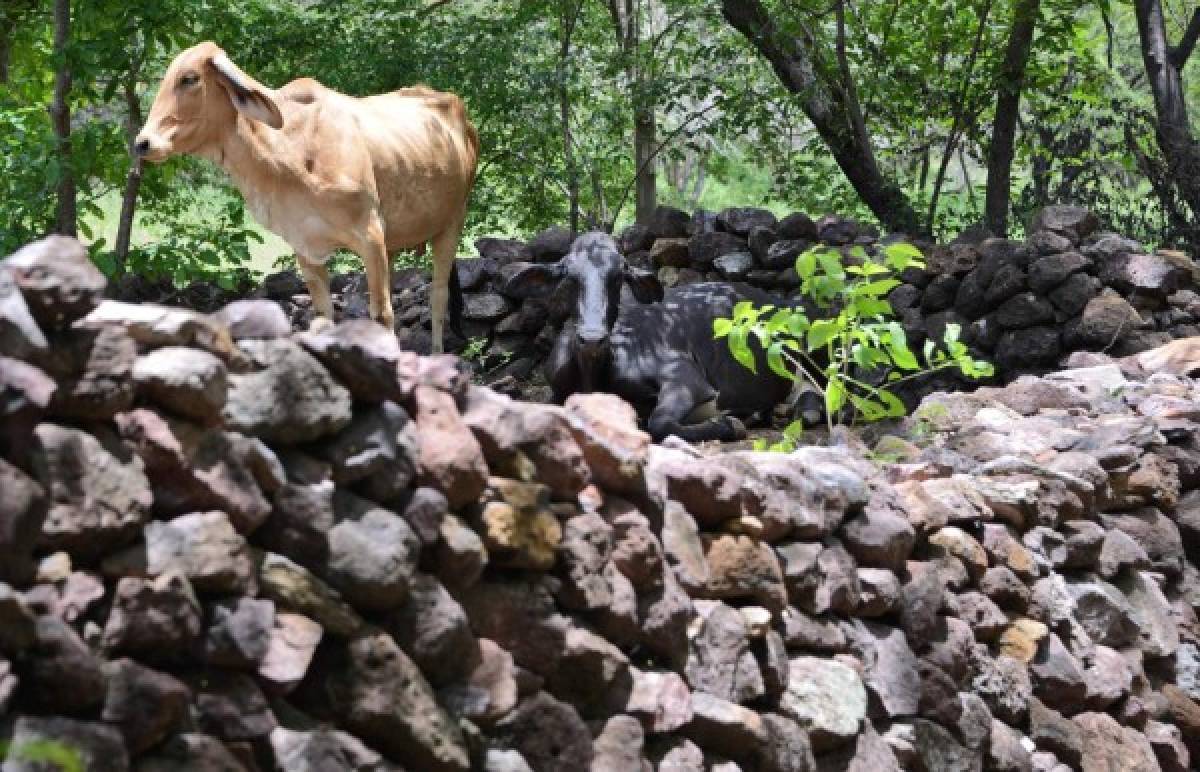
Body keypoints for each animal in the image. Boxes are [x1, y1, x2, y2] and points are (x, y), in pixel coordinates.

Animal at [135, 42, 477, 352]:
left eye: (189, 78)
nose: (142, 143)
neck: (287, 151)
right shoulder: (306, 248)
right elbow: (324, 316)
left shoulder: (369, 236)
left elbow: (382, 315)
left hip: (451, 224)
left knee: (438, 298)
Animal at [506, 230, 796, 441]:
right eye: (569, 275)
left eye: (619, 276)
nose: (592, 339)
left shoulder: (684, 377)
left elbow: (660, 422)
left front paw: (729, 425)